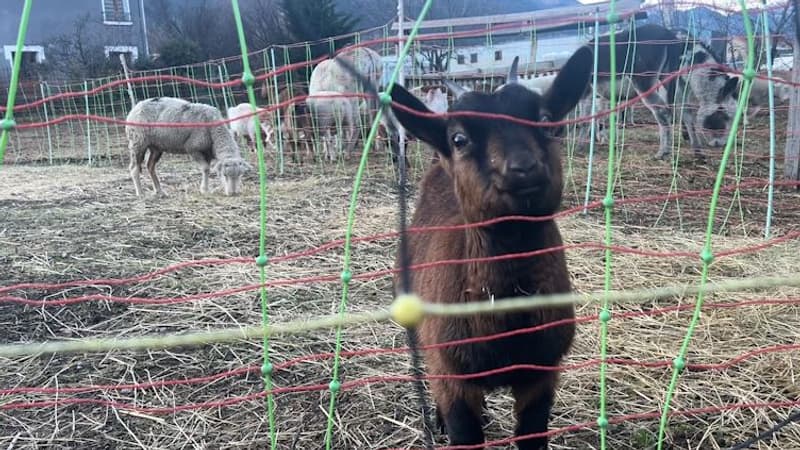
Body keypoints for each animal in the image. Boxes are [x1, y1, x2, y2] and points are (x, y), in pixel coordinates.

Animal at [334, 40, 592, 448]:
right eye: (460, 138)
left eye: (547, 119)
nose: (524, 168)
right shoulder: (452, 373)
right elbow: (464, 431)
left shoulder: (542, 373)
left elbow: (533, 435)